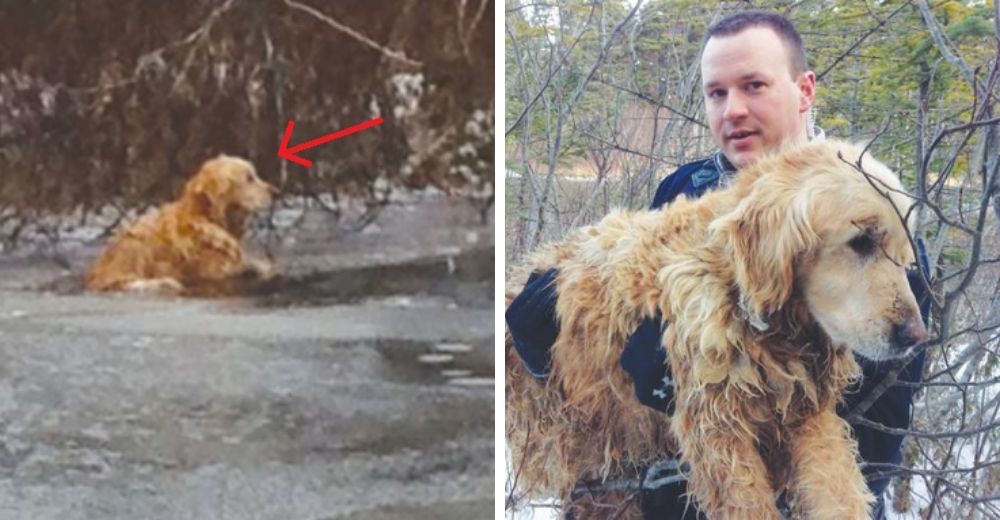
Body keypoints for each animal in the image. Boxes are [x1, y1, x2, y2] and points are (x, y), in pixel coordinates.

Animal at [85, 153, 278, 292]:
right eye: (249, 178)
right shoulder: (215, 271)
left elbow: (258, 264)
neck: (207, 218)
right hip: (136, 241)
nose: (276, 192)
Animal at [508, 139, 928, 520]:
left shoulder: (808, 412)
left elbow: (838, 488)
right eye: (862, 240)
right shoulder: (718, 430)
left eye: (906, 255)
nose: (916, 336)